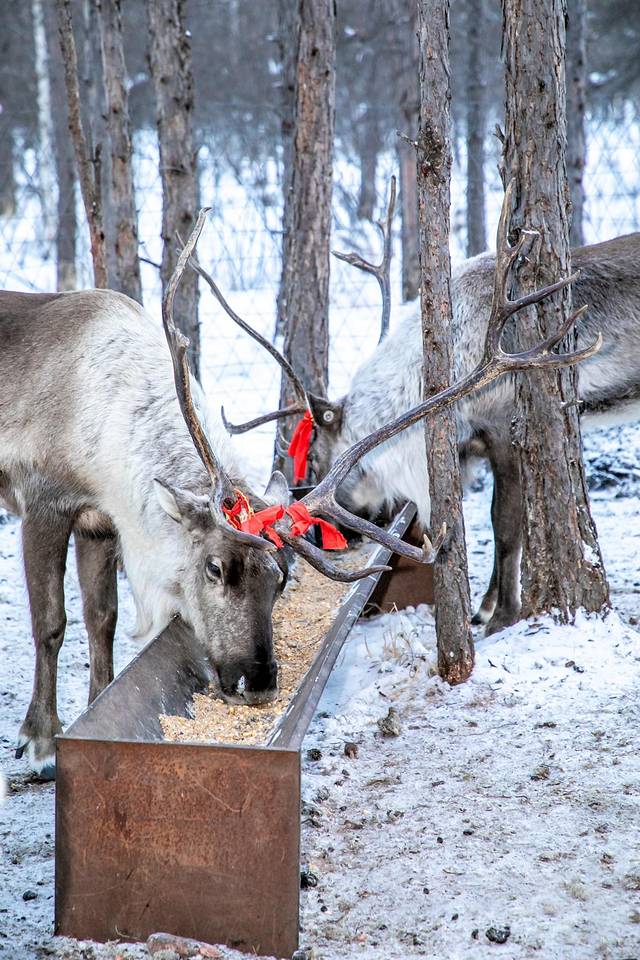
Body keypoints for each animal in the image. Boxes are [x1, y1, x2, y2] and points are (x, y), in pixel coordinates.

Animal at [0, 192, 598, 779]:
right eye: (214, 568)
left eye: (282, 578)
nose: (259, 682)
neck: (105, 443)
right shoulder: (44, 502)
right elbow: (52, 623)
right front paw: (41, 741)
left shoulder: (99, 524)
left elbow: (101, 620)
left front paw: (90, 708)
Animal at [216, 177, 639, 635]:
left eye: (312, 458)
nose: (321, 538)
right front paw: (485, 606)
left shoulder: (505, 431)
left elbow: (506, 526)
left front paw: (500, 617)